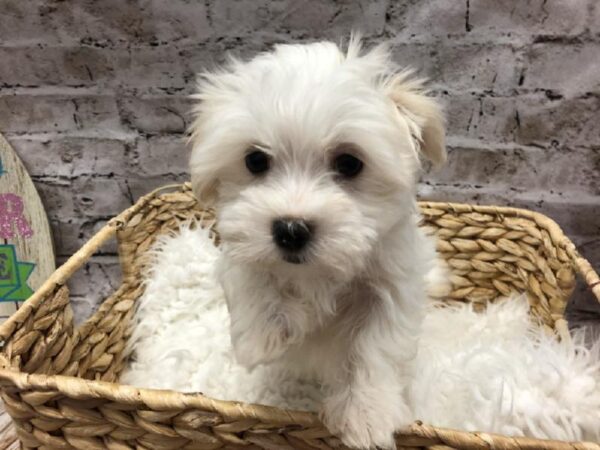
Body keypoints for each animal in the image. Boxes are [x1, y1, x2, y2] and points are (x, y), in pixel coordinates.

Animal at [190, 39, 448, 450]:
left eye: (349, 163)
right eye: (255, 160)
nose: (291, 230)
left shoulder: (393, 284)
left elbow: (377, 346)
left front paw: (366, 415)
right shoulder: (239, 241)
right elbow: (249, 274)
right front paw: (261, 337)